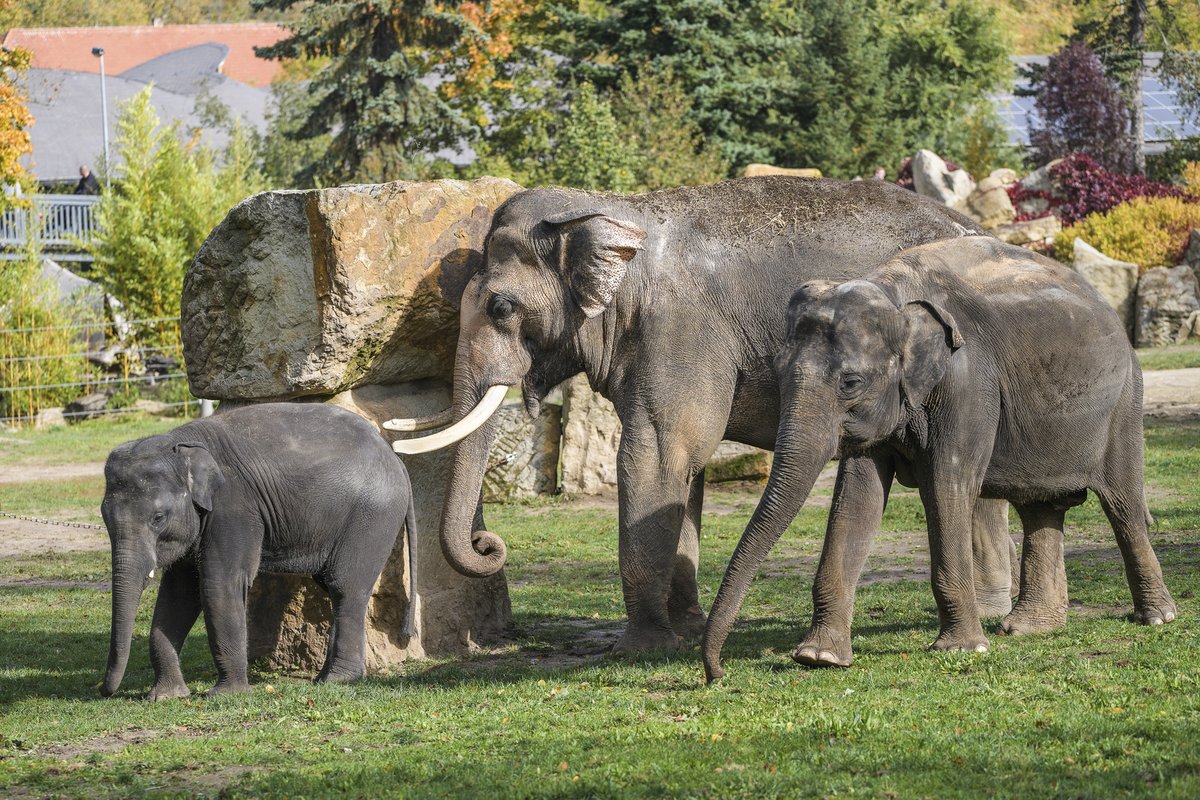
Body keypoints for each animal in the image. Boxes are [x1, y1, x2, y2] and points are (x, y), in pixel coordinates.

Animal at [94, 402, 412, 695]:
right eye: (104, 516)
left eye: (158, 518)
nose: (104, 691)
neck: (182, 443)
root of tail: (395, 457)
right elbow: (179, 593)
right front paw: (165, 697)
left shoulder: (234, 507)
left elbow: (219, 583)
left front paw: (227, 695)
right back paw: (324, 678)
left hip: (373, 516)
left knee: (345, 587)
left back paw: (337, 680)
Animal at [391, 175, 1022, 652]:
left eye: (501, 307)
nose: (489, 543)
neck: (612, 212)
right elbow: (685, 468)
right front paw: (688, 629)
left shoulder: (679, 329)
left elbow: (657, 455)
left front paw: (640, 647)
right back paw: (993, 609)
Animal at [700, 235, 1176, 681]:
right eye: (778, 370)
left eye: (851, 382)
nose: (717, 674)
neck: (891, 290)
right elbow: (857, 497)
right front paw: (820, 658)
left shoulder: (969, 382)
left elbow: (947, 487)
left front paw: (963, 650)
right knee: (1040, 508)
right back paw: (1028, 629)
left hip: (1125, 403)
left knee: (1122, 505)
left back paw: (1156, 618)